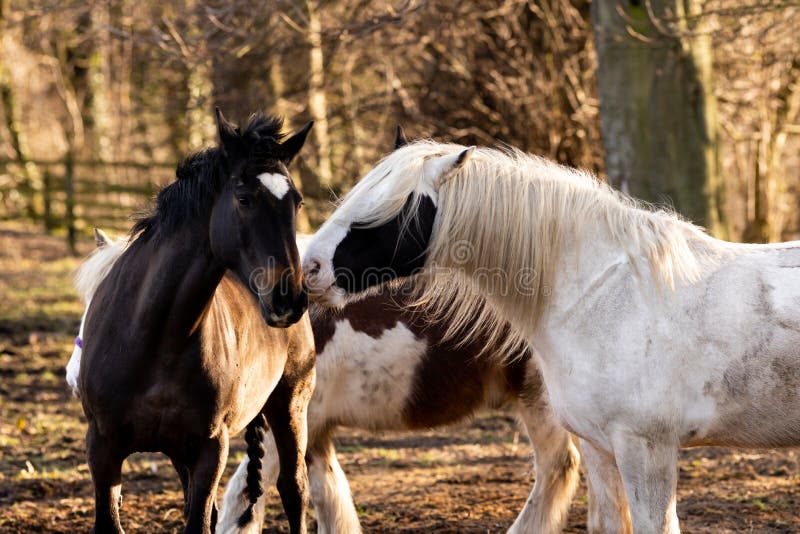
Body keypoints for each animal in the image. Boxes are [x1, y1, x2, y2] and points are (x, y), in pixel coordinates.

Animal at [70, 231, 581, 534]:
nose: (76, 375)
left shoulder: (285, 427)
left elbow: (242, 500)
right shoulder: (312, 431)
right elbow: (328, 497)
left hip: (541, 403)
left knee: (558, 467)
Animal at [76, 109, 316, 534]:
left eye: (297, 202)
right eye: (244, 198)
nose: (288, 298)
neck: (153, 337)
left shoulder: (209, 448)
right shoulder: (103, 449)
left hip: (290, 405)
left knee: (294, 489)